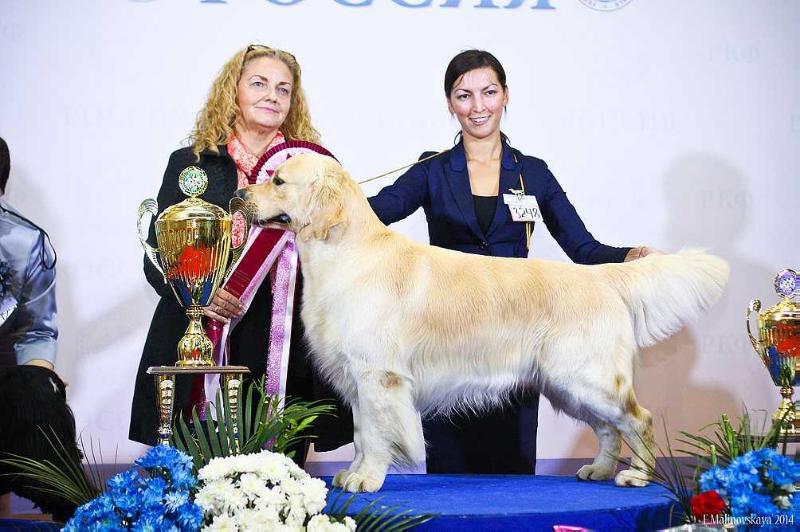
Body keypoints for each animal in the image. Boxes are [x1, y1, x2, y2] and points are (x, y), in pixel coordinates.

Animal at [236, 154, 724, 494]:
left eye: (278, 180)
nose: (240, 197)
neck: (342, 252)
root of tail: (602, 276)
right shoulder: (359, 379)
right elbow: (360, 434)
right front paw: (353, 473)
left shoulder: (379, 376)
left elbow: (375, 434)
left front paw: (366, 479)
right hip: (567, 384)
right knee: (609, 428)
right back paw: (599, 470)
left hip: (587, 376)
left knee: (638, 419)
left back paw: (635, 477)